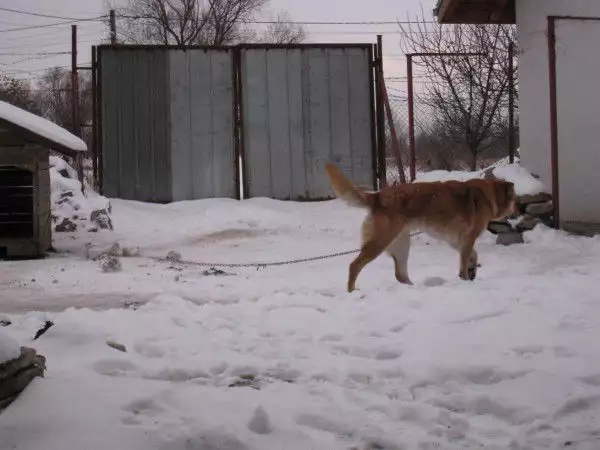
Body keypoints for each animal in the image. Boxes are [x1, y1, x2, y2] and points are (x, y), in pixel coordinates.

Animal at [326, 163, 516, 294]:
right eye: (515, 199)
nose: (517, 212)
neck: (490, 194)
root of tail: (378, 196)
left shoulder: (457, 241)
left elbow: (472, 256)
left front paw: (472, 270)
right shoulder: (468, 239)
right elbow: (465, 261)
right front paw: (466, 278)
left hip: (402, 245)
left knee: (400, 275)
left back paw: (413, 288)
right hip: (380, 242)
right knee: (355, 265)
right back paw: (352, 292)